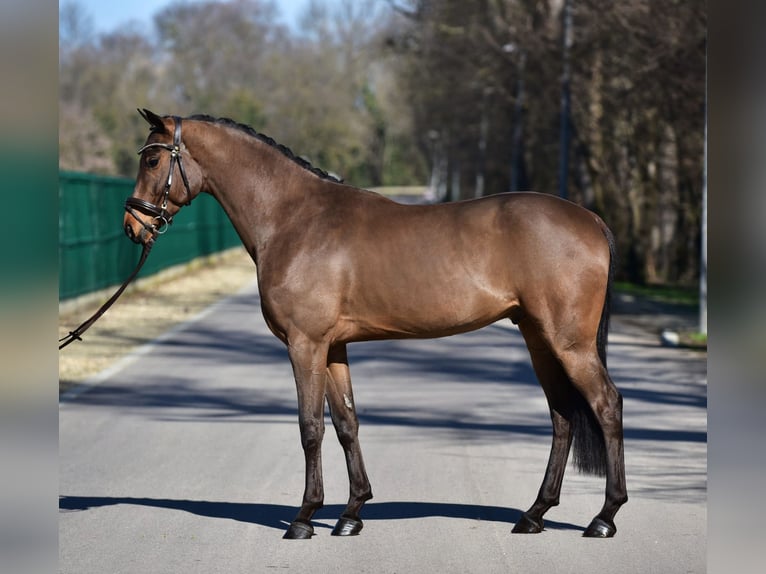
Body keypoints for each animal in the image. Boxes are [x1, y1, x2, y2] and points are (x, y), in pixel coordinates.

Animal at [124, 109, 627, 540]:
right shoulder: (333, 347)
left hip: (569, 343)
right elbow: (347, 422)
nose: (133, 225)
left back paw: (603, 518)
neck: (294, 218)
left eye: (152, 158)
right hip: (539, 339)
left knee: (606, 406)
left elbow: (310, 426)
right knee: (562, 416)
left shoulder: (305, 344)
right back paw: (534, 514)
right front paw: (351, 514)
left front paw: (304, 518)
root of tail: (591, 219)